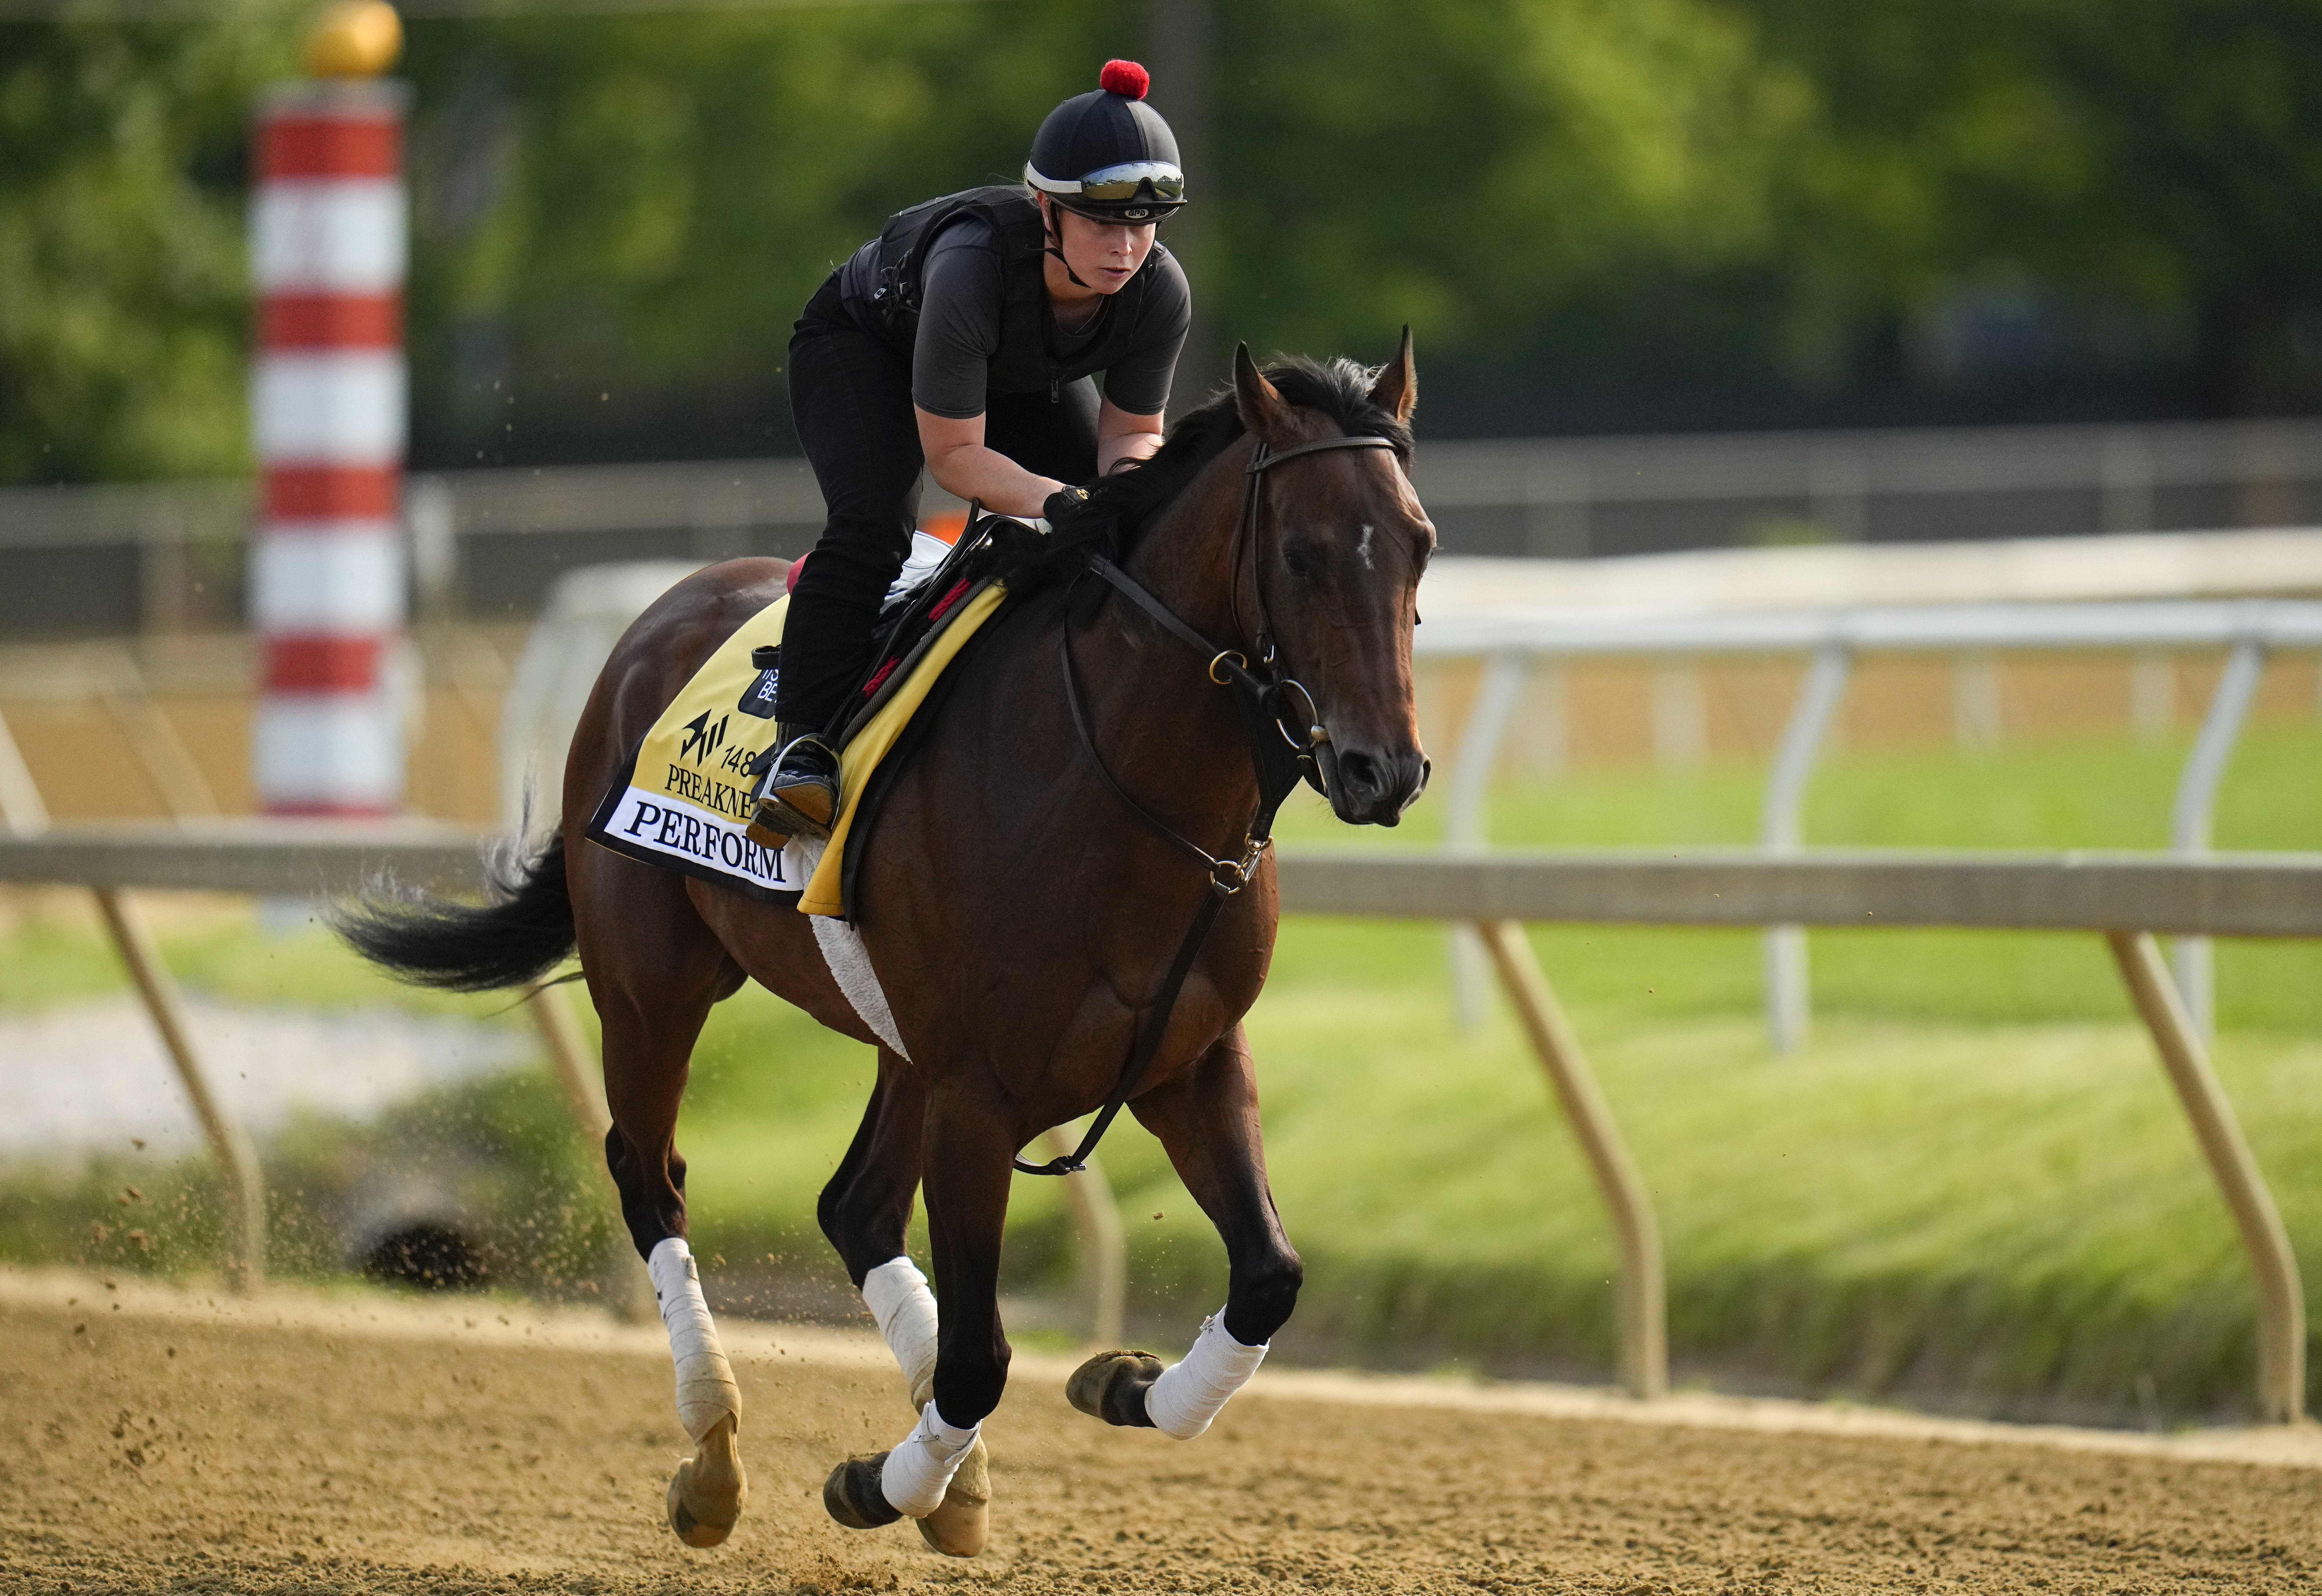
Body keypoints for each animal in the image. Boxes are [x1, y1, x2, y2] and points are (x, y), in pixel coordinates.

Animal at [341, 339, 1430, 1561]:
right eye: (1300, 552)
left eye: (1421, 544)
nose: (1382, 770)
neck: (1124, 786)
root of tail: (664, 609)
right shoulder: (976, 1090)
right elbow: (980, 1354)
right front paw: (881, 1480)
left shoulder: (1184, 1060)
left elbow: (1268, 1278)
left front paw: (1118, 1383)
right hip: (652, 987)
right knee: (651, 1177)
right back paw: (714, 1454)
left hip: (895, 1036)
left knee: (851, 1205)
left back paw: (940, 1473)